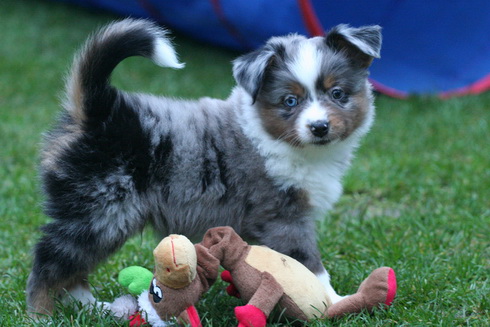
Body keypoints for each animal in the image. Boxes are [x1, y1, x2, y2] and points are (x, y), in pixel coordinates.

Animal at [26, 19, 382, 316]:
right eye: (290, 101)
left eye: (338, 93)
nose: (319, 127)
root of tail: (99, 111)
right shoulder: (282, 217)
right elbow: (308, 263)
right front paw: (333, 302)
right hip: (102, 211)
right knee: (51, 260)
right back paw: (41, 315)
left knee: (73, 270)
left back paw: (96, 308)